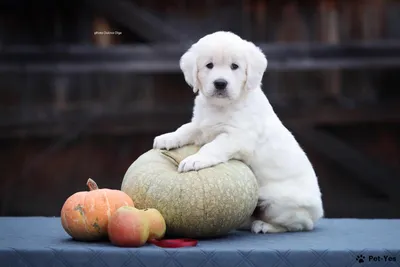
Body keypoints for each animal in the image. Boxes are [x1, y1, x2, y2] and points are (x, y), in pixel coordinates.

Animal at [152, 31, 324, 234]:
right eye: (209, 65)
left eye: (235, 66)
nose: (220, 83)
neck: (221, 106)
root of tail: (317, 213)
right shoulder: (202, 124)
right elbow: (186, 128)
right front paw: (167, 138)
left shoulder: (238, 137)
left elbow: (213, 146)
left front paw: (195, 160)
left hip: (280, 204)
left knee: (298, 224)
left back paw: (265, 226)